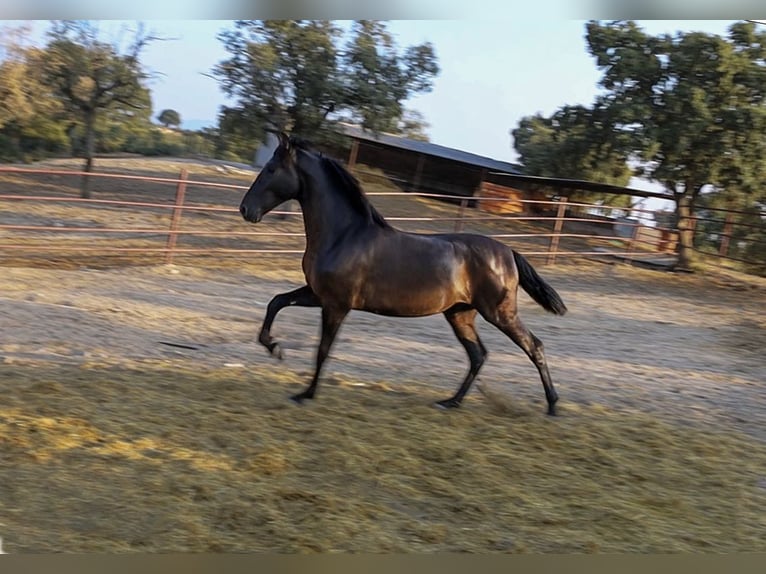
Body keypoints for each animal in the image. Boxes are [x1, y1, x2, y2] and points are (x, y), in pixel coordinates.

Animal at [242, 133, 568, 416]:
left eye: (271, 169)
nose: (246, 209)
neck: (344, 235)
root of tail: (508, 252)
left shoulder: (336, 304)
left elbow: (322, 349)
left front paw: (305, 394)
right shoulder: (318, 294)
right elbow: (276, 301)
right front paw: (274, 348)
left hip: (500, 313)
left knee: (534, 346)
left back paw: (552, 406)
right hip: (460, 314)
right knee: (478, 355)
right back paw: (450, 402)